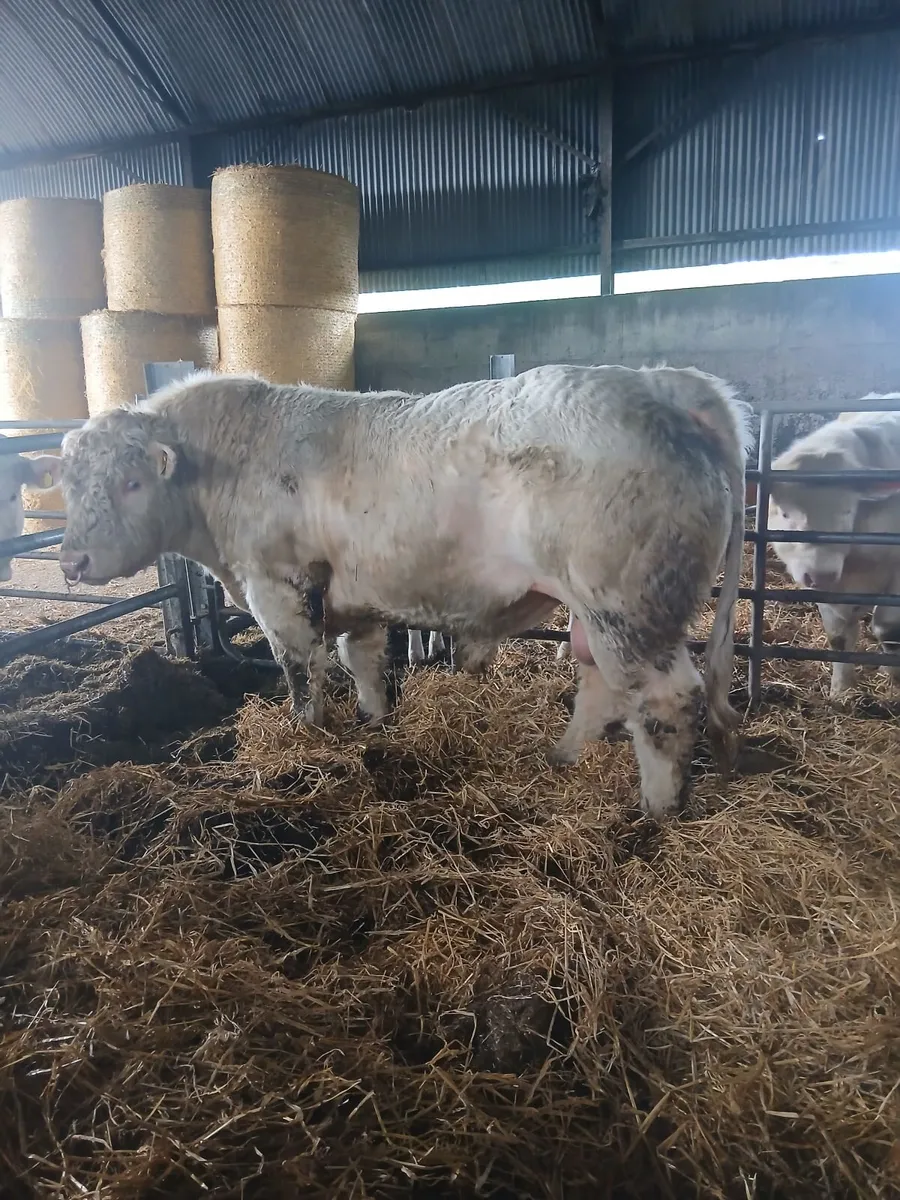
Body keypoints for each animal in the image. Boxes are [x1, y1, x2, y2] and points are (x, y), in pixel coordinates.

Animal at [31, 364, 749, 818]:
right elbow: (365, 662)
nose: (72, 559)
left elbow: (301, 669)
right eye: (71, 483)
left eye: (130, 483)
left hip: (627, 606)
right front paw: (373, 723)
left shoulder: (279, 587)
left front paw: (307, 735)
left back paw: (655, 810)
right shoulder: (356, 600)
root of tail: (658, 380)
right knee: (601, 686)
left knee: (664, 700)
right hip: (594, 613)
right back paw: (562, 758)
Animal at [767, 404, 900, 696]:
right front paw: (841, 691)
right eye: (785, 513)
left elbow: (888, 628)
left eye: (848, 510)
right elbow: (838, 637)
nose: (821, 575)